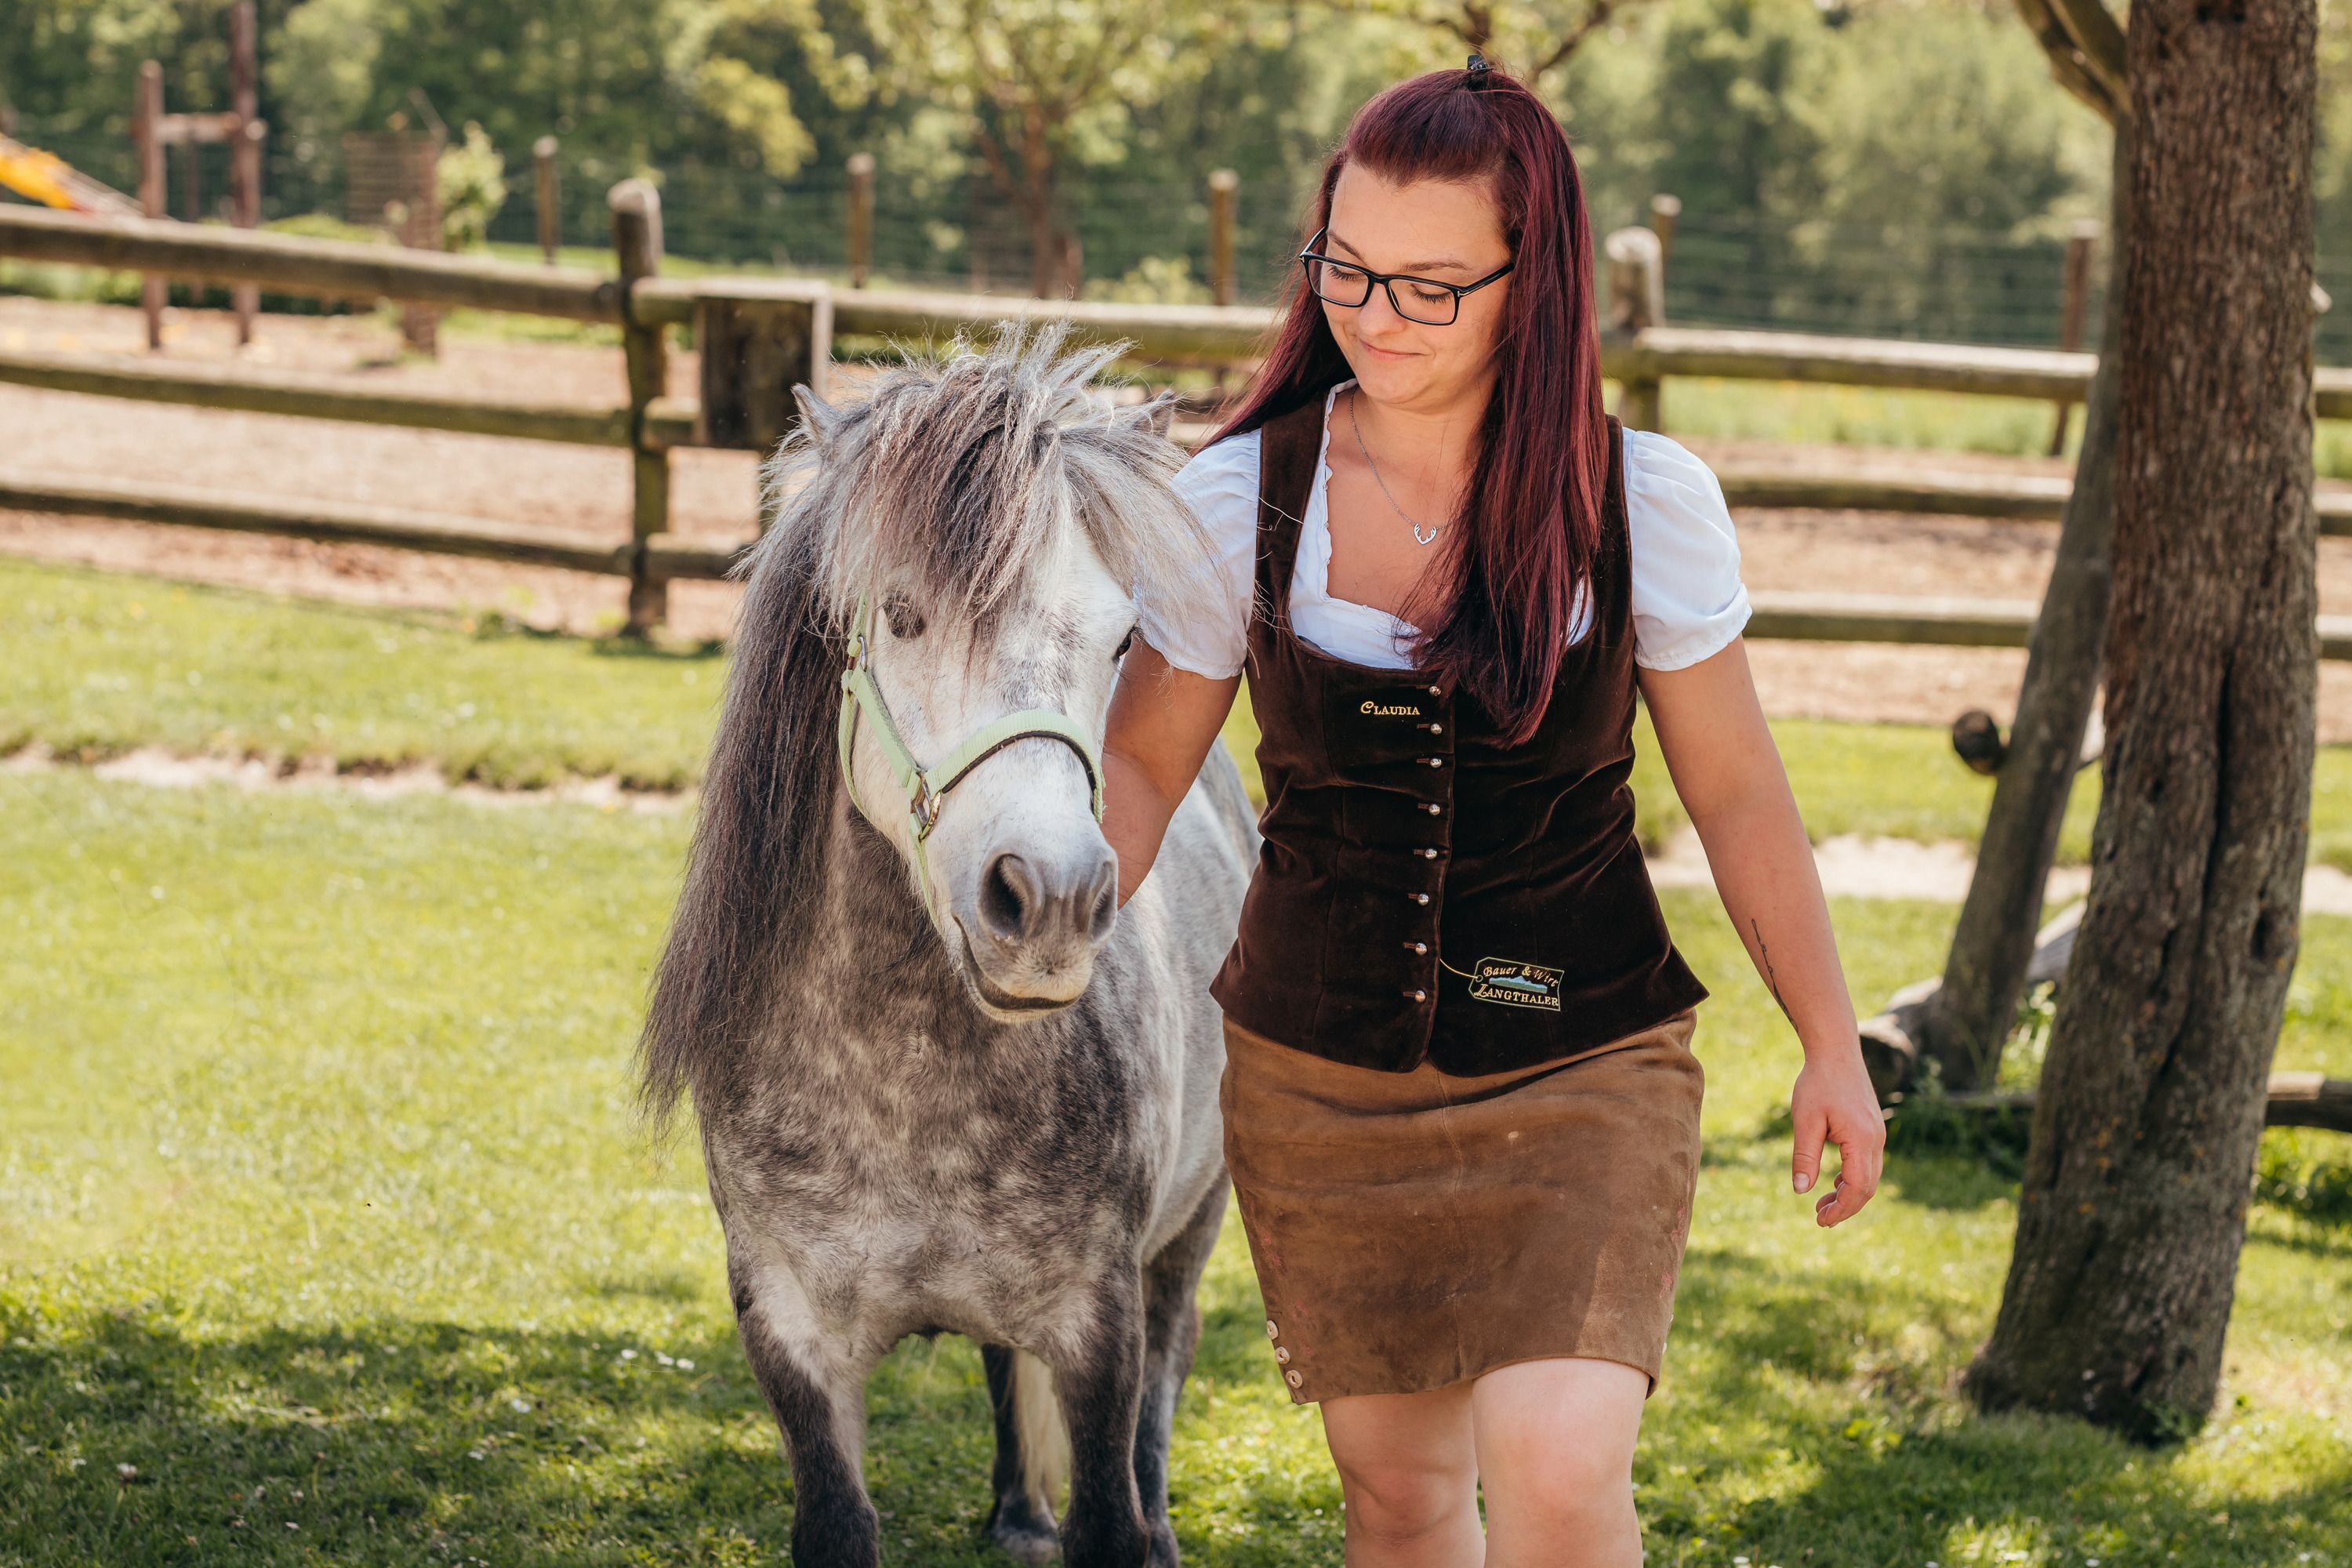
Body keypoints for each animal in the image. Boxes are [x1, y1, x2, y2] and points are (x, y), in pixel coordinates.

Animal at [637, 319, 1257, 1568]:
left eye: (1125, 640)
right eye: (902, 614)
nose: (1051, 899)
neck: (900, 1081)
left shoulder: (1101, 1325)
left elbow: (1114, 1506)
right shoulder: (790, 1333)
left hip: (1190, 1235)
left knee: (1166, 1394)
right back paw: (1015, 1513)